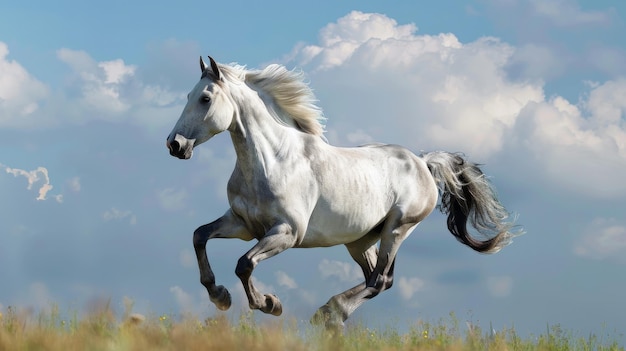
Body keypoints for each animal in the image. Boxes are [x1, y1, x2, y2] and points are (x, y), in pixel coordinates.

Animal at [165, 55, 516, 330]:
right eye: (188, 95)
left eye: (205, 98)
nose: (175, 145)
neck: (272, 160)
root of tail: (422, 161)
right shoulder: (242, 224)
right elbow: (199, 236)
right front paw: (219, 295)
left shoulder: (286, 232)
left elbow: (244, 264)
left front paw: (269, 303)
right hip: (360, 240)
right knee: (376, 278)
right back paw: (330, 314)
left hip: (397, 229)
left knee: (380, 280)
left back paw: (329, 313)